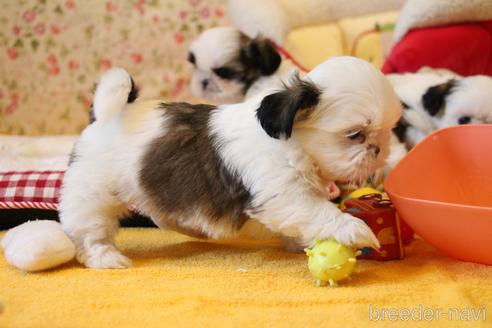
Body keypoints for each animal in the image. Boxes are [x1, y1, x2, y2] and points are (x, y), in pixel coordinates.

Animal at [59, 57, 402, 270]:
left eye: (388, 130)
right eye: (355, 135)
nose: (378, 150)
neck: (292, 142)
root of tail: (104, 116)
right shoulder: (284, 193)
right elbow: (316, 211)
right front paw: (353, 229)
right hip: (93, 194)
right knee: (90, 231)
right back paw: (106, 257)